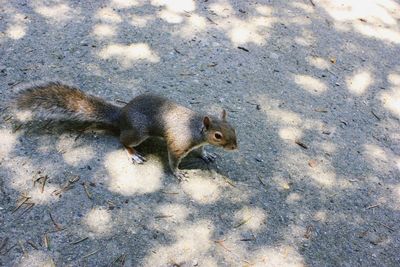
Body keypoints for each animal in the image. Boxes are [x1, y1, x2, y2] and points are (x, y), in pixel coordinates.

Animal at [14, 82, 238, 181]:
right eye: (218, 135)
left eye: (233, 128)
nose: (235, 147)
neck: (196, 128)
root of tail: (121, 114)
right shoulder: (179, 143)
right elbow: (173, 160)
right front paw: (178, 173)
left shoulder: (197, 143)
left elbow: (200, 151)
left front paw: (207, 155)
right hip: (138, 133)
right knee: (123, 141)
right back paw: (133, 154)